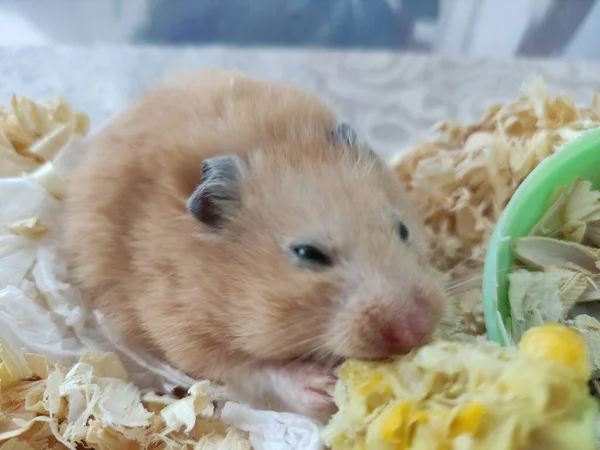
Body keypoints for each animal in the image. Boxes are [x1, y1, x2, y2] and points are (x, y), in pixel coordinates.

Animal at [63, 68, 448, 420]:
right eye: (308, 254)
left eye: (403, 229)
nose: (414, 331)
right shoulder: (179, 326)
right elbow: (249, 367)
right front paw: (321, 389)